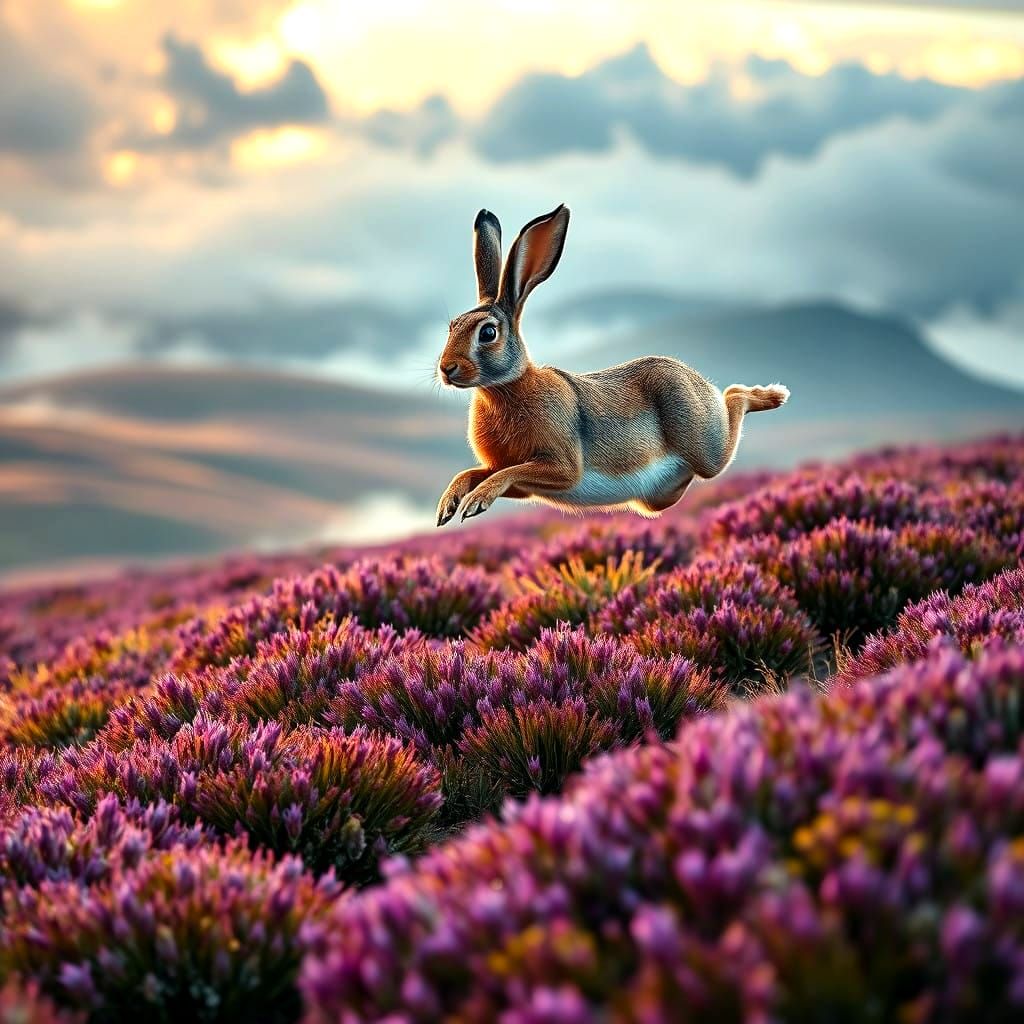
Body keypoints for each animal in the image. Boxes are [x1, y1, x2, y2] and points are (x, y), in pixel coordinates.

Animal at [436, 204, 789, 526]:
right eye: (452, 326)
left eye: (488, 333)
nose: (446, 369)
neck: (506, 389)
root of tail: (699, 380)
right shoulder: (516, 480)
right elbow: (474, 472)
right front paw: (448, 505)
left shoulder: (562, 467)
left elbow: (510, 472)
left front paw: (476, 501)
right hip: (660, 496)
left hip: (703, 445)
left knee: (731, 408)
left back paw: (772, 394)